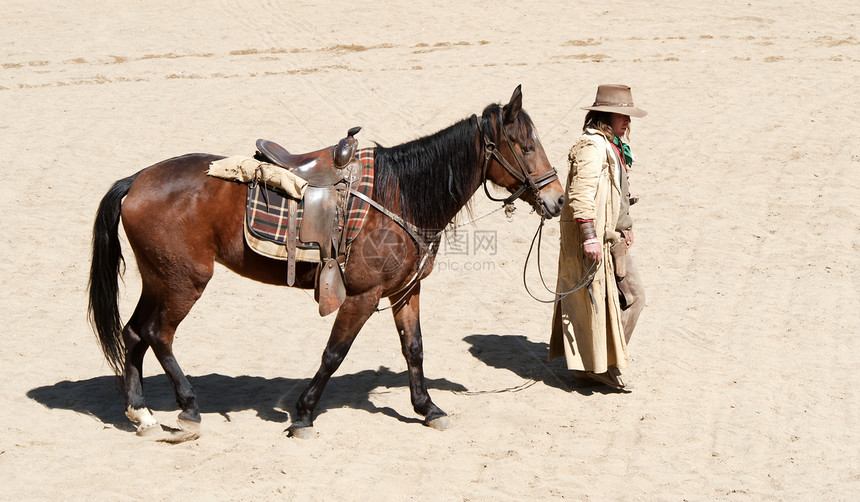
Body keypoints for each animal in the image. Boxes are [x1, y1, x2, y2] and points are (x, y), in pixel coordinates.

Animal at [87, 86, 564, 440]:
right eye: (525, 146)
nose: (557, 199)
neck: (399, 195)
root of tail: (137, 180)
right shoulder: (362, 296)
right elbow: (335, 352)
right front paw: (302, 415)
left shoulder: (405, 290)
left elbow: (414, 348)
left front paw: (428, 408)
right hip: (184, 281)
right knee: (158, 334)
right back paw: (187, 408)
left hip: (159, 279)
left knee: (133, 333)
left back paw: (142, 415)